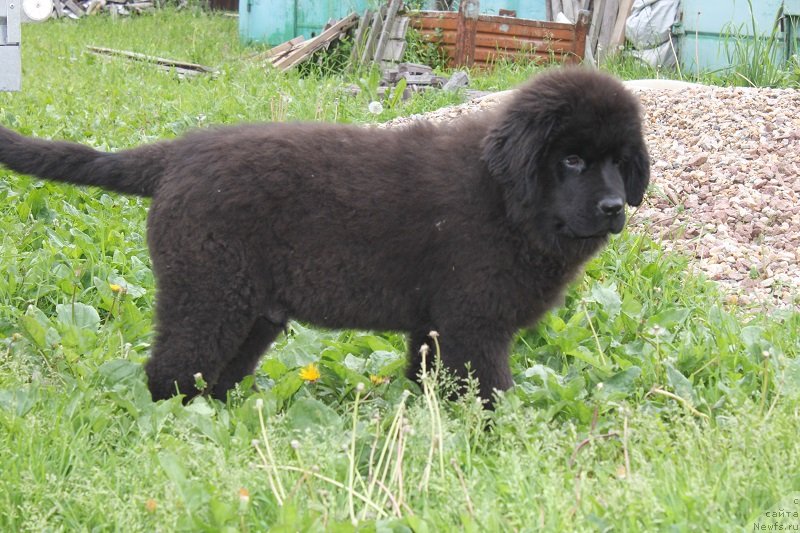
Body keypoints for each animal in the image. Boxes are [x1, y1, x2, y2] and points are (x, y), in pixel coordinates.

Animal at [0, 68, 648, 406]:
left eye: (620, 162)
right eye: (570, 160)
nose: (614, 207)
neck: (507, 200)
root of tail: (178, 154)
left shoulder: (434, 324)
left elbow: (428, 378)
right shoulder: (474, 323)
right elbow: (485, 389)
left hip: (250, 311)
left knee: (213, 373)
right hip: (209, 292)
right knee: (172, 369)